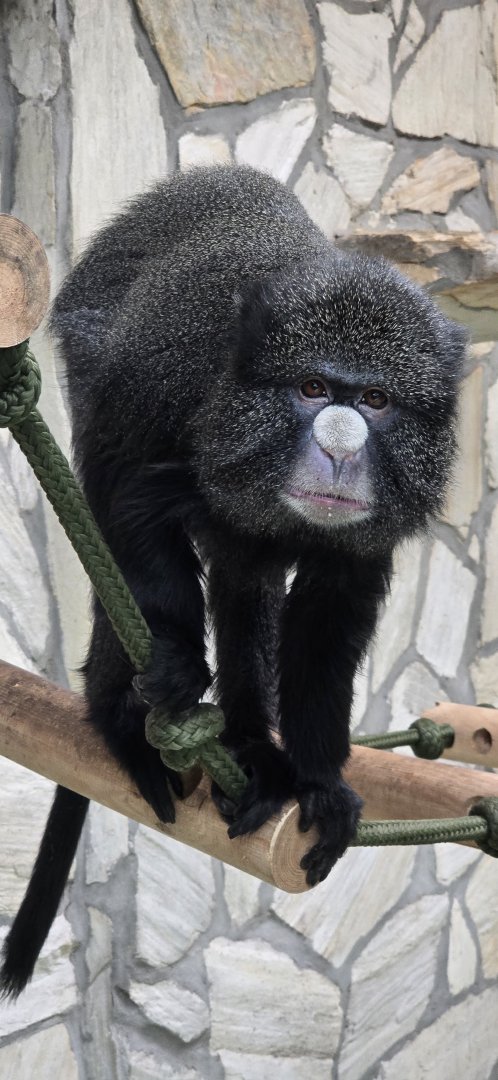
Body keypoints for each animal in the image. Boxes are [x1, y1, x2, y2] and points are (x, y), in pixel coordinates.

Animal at [0, 165, 466, 997]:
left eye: (375, 400)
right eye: (312, 390)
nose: (341, 451)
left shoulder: (359, 544)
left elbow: (325, 620)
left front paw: (315, 780)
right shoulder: (171, 396)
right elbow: (131, 507)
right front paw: (178, 671)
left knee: (247, 582)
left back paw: (254, 748)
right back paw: (127, 720)